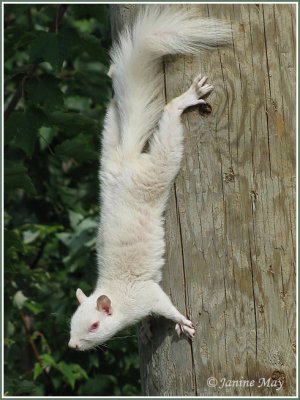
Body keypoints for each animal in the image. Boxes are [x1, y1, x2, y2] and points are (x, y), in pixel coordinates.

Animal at [68, 5, 232, 350]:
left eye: (93, 325)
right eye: (71, 323)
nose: (73, 346)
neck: (118, 295)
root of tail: (125, 163)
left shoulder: (144, 295)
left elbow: (165, 306)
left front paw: (181, 321)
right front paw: (144, 329)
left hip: (158, 167)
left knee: (168, 119)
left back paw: (183, 100)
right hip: (110, 140)